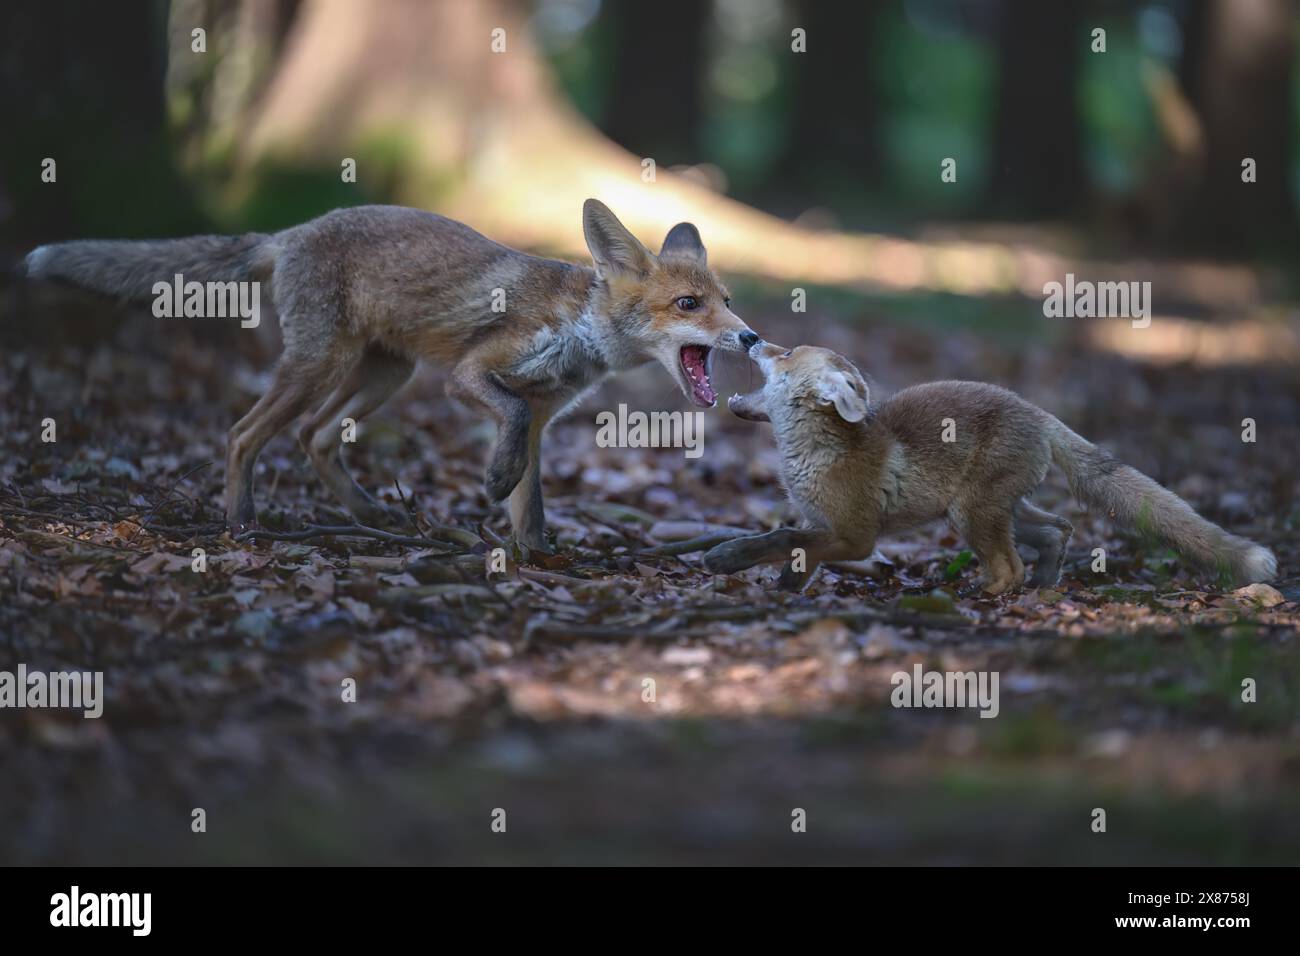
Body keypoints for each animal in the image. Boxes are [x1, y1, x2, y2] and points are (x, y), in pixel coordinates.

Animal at [23, 201, 758, 549]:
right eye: (688, 305)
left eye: (727, 299)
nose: (751, 336)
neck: (577, 328)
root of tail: (290, 232)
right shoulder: (472, 376)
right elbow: (510, 435)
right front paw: (494, 483)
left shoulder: (542, 416)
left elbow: (532, 502)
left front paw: (536, 558)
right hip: (321, 366)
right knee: (241, 435)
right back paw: (242, 524)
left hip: (384, 376)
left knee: (313, 438)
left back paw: (367, 515)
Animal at [704, 341, 1277, 595]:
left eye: (784, 355)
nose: (753, 339)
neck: (820, 454)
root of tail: (1040, 413)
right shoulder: (821, 523)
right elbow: (796, 554)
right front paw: (780, 592)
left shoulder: (857, 537)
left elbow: (783, 539)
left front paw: (728, 557)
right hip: (1001, 509)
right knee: (1058, 529)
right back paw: (1044, 584)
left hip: (970, 515)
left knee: (1010, 567)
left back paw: (982, 596)